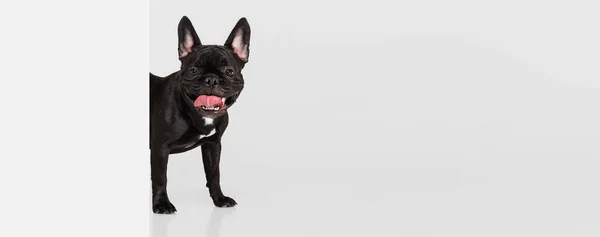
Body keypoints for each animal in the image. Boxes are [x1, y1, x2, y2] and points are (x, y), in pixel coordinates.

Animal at [151, 15, 252, 214]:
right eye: (193, 71)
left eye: (229, 72)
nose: (211, 79)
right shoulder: (160, 148)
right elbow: (160, 178)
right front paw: (161, 204)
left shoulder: (212, 145)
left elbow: (214, 174)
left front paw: (219, 199)